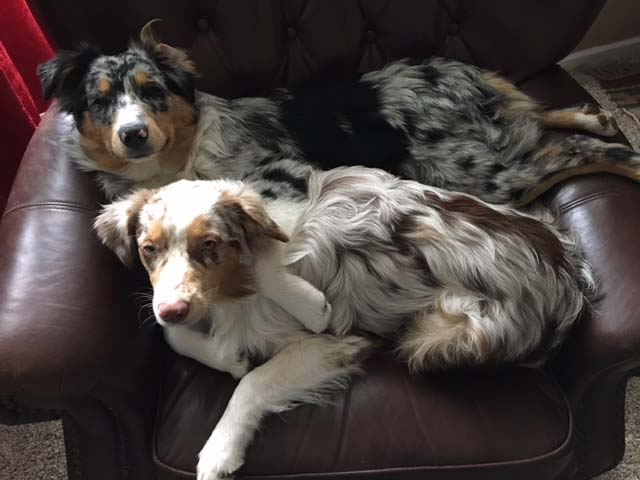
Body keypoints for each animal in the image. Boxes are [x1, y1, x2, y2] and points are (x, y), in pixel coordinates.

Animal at [39, 23, 640, 205]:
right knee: (543, 117)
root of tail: (460, 76)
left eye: (153, 91)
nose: (133, 134)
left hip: (470, 172)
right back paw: (598, 117)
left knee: (578, 151)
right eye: (99, 101)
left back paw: (625, 156)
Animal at [94, 165, 593, 480]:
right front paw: (226, 355)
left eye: (211, 245)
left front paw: (220, 449)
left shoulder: (336, 341)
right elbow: (176, 337)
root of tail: (569, 271)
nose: (172, 307)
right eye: (149, 249)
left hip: (442, 334)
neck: (234, 293)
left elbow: (254, 382)